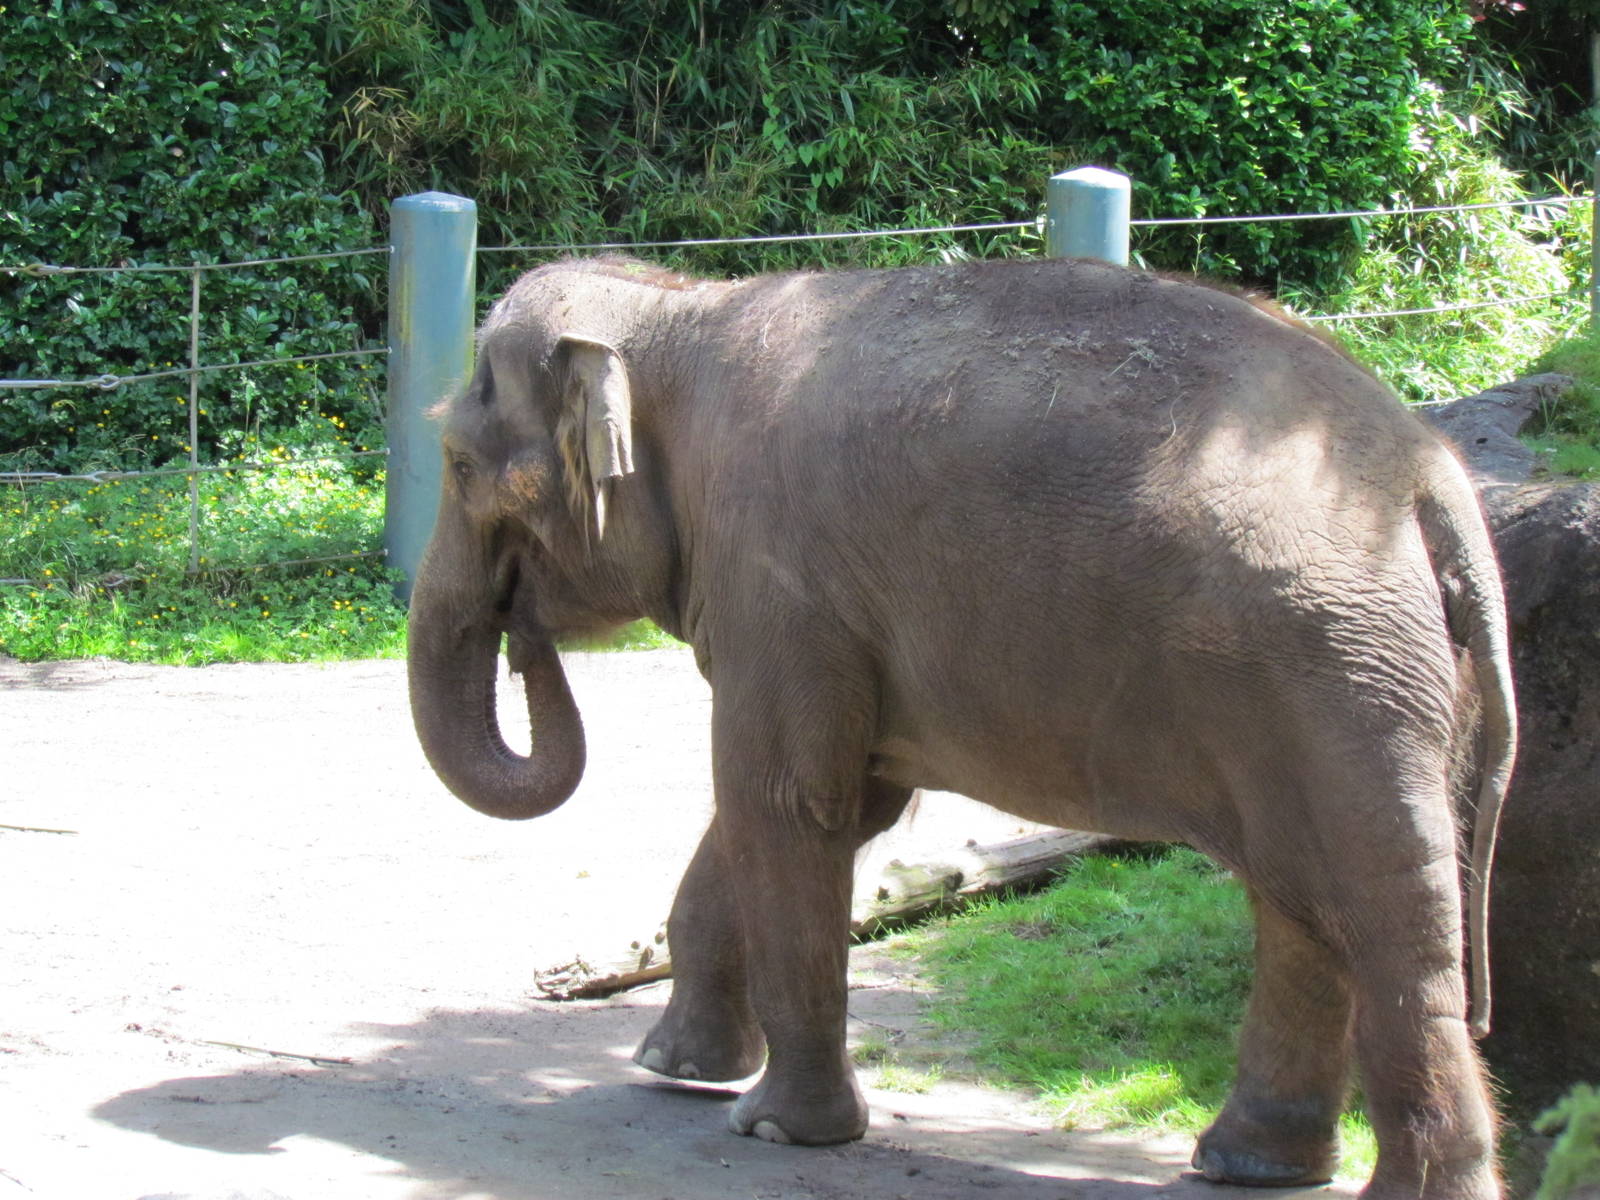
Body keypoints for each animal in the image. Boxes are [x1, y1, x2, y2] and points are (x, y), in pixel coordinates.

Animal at [405, 254, 1516, 1200]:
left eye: (456, 465)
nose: (520, 631)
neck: (680, 308)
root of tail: (1430, 478)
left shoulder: (778, 574)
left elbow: (784, 799)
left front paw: (773, 1128)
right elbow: (841, 803)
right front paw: (677, 1068)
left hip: (1335, 673)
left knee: (1376, 910)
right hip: (1368, 681)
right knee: (1301, 899)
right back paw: (1250, 1165)